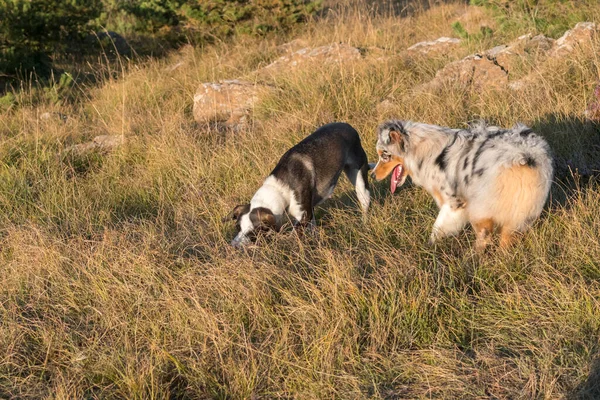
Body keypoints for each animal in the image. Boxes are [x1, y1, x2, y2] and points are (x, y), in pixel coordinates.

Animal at [227, 122, 372, 247]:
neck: (281, 186)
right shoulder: (309, 212)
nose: (233, 246)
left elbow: (293, 236)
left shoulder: (303, 216)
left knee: (364, 202)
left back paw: (364, 224)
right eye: (237, 227)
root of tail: (349, 126)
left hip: (360, 180)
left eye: (253, 233)